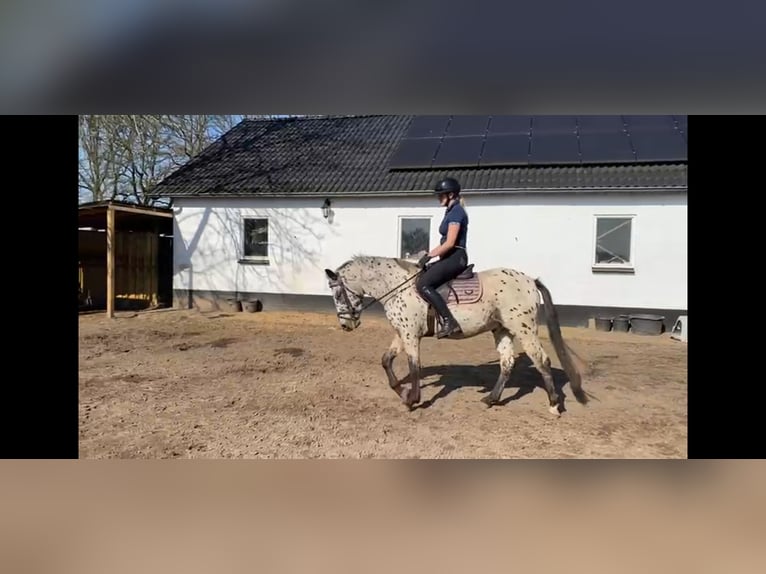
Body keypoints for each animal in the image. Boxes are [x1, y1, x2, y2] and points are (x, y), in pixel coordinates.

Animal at [324, 254, 588, 416]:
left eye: (337, 295)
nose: (346, 325)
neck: (398, 287)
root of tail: (530, 281)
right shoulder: (402, 333)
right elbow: (386, 360)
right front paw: (401, 391)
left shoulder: (410, 335)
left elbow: (414, 367)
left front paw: (412, 399)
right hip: (502, 329)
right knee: (507, 363)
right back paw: (491, 399)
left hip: (524, 329)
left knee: (542, 360)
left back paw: (554, 405)